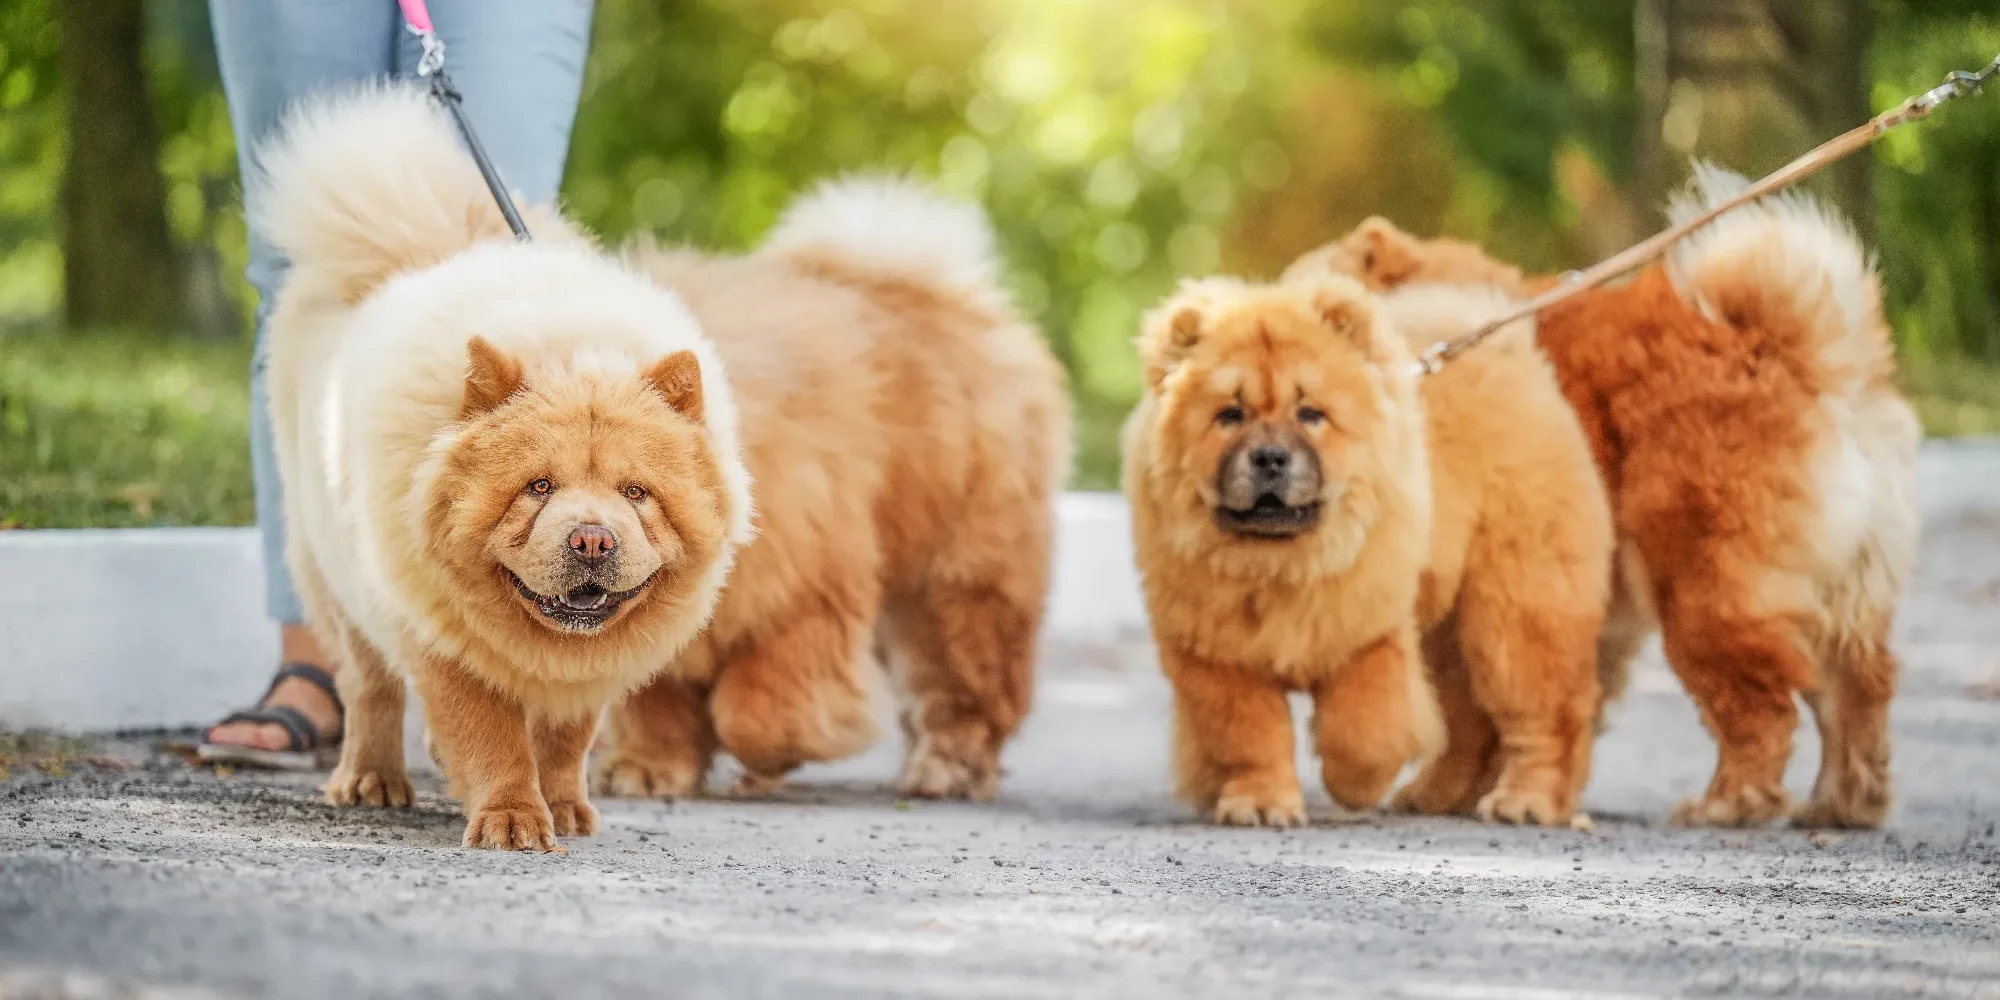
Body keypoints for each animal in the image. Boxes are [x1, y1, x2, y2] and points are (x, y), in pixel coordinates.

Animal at [250, 88, 752, 852]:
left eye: (636, 493)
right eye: (537, 488)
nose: (592, 539)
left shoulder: (581, 676)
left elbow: (566, 739)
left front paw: (565, 807)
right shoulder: (444, 639)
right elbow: (491, 735)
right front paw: (513, 819)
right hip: (339, 578)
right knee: (370, 688)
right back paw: (371, 780)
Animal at [592, 180, 1072, 800]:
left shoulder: (804, 597)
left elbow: (757, 713)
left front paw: (769, 762)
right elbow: (654, 705)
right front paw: (647, 770)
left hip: (955, 588)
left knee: (965, 693)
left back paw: (945, 772)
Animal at [1128, 270, 1608, 824]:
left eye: (1310, 414)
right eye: (1229, 415)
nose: (1270, 457)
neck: (1280, 563)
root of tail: (1511, 354)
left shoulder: (1370, 637)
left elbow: (1362, 731)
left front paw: (1354, 787)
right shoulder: (1217, 659)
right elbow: (1248, 735)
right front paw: (1260, 802)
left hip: (1517, 613)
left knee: (1546, 716)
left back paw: (1526, 801)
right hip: (1448, 635)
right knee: (1467, 723)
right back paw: (1431, 796)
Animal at [1288, 170, 1928, 828]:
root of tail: (1796, 355)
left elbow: (1471, 713)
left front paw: (1460, 791)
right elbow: (1486, 716)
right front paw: (1458, 791)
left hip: (1703, 590)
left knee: (1764, 709)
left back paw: (1727, 803)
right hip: (1841, 597)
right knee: (1854, 695)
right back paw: (1841, 804)